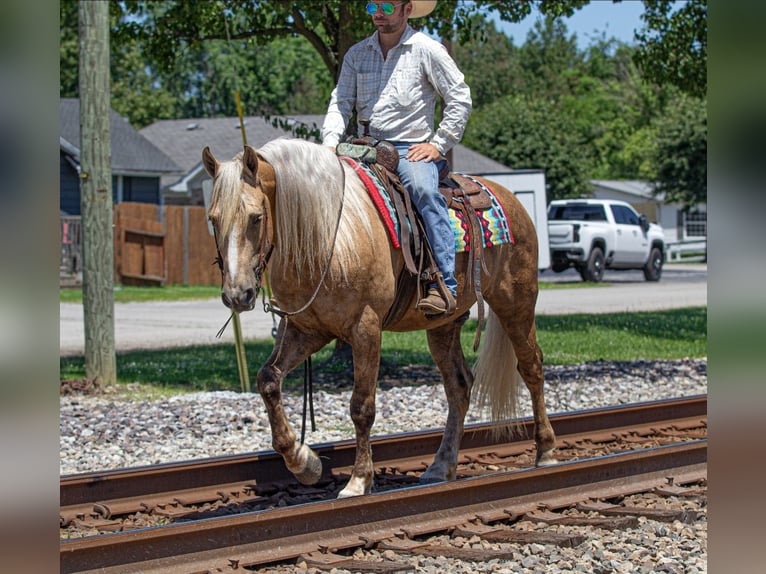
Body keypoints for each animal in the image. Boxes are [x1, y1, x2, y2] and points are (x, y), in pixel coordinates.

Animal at [202, 138, 556, 497]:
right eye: (213, 219)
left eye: (256, 218)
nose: (237, 294)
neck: (329, 237)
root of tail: (506, 195)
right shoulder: (305, 329)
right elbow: (268, 380)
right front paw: (304, 462)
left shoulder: (366, 327)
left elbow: (362, 407)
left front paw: (358, 480)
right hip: (443, 325)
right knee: (459, 386)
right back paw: (441, 466)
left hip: (516, 302)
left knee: (531, 367)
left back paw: (546, 451)